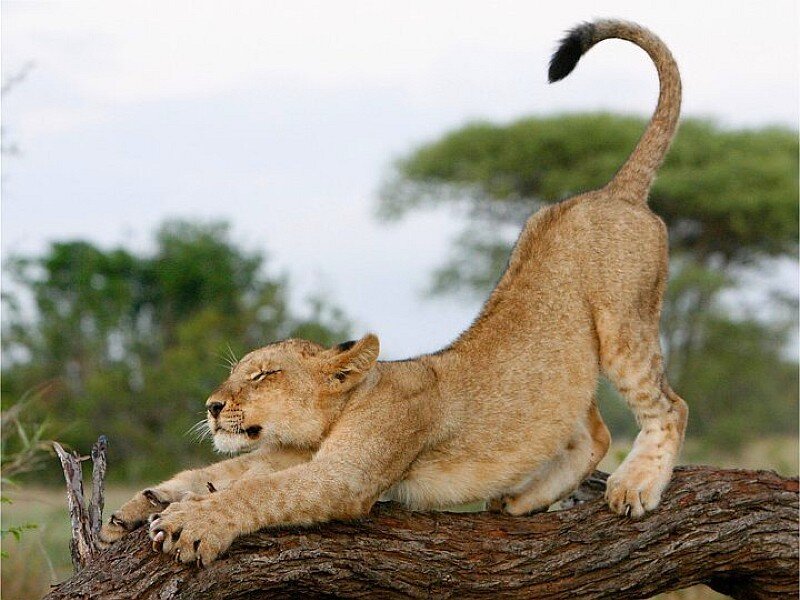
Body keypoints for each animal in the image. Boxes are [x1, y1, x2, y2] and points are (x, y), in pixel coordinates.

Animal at [101, 19, 688, 567]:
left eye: (264, 375)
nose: (212, 406)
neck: (338, 414)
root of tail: (616, 192)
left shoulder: (342, 476)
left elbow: (258, 492)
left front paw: (192, 524)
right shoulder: (280, 455)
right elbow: (210, 472)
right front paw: (133, 509)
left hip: (624, 325)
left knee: (668, 406)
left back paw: (636, 486)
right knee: (594, 431)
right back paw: (523, 499)